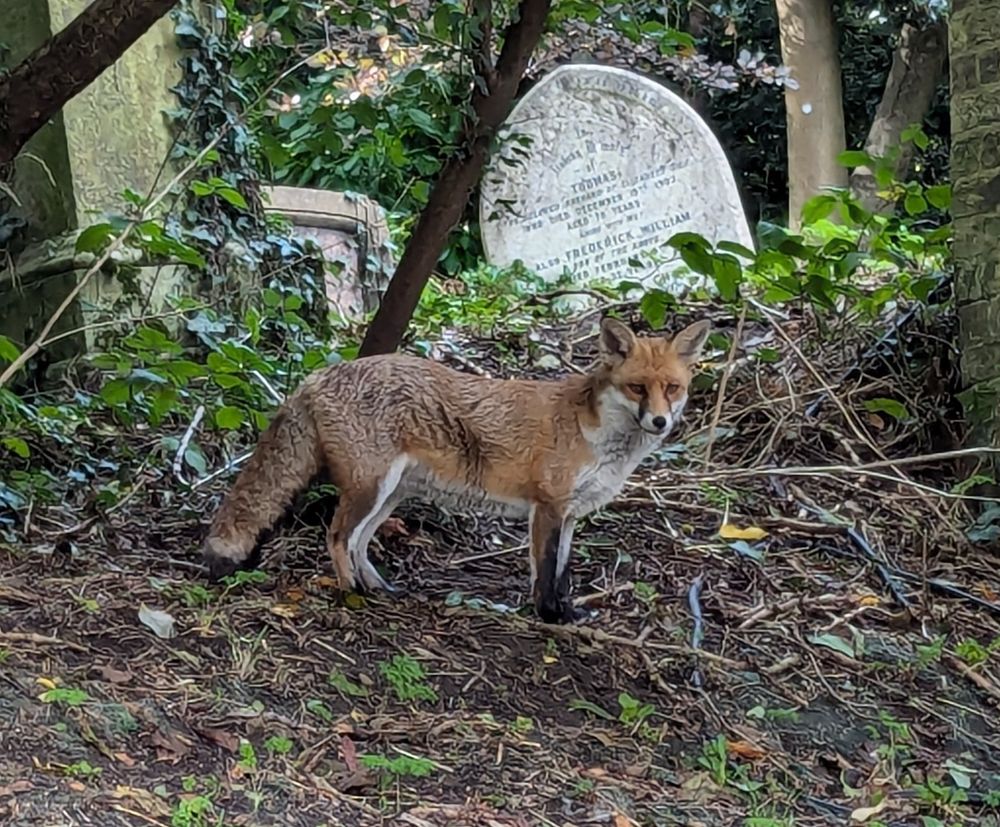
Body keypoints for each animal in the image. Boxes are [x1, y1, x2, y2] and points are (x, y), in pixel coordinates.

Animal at [201, 316, 711, 623]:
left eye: (672, 388)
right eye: (638, 389)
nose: (661, 422)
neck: (600, 438)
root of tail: (319, 374)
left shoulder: (570, 514)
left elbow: (564, 570)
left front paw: (568, 613)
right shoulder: (546, 507)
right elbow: (545, 572)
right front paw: (549, 616)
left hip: (391, 494)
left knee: (360, 541)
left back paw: (380, 588)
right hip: (371, 488)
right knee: (338, 536)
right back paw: (350, 593)